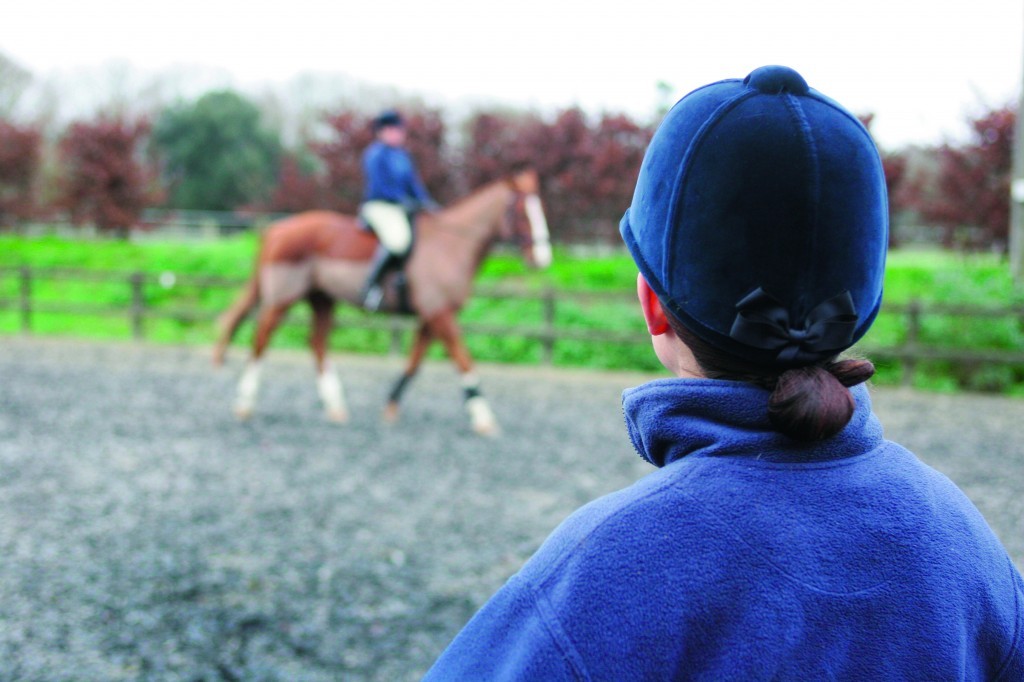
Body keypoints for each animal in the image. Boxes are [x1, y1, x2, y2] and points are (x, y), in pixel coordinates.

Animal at [209, 166, 552, 432]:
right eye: (522, 211)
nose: (543, 258)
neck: (451, 246)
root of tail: (278, 228)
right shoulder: (439, 312)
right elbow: (463, 358)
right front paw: (483, 418)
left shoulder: (432, 316)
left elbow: (415, 361)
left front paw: (390, 406)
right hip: (283, 297)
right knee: (261, 338)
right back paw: (245, 403)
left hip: (322, 299)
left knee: (317, 343)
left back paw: (335, 407)